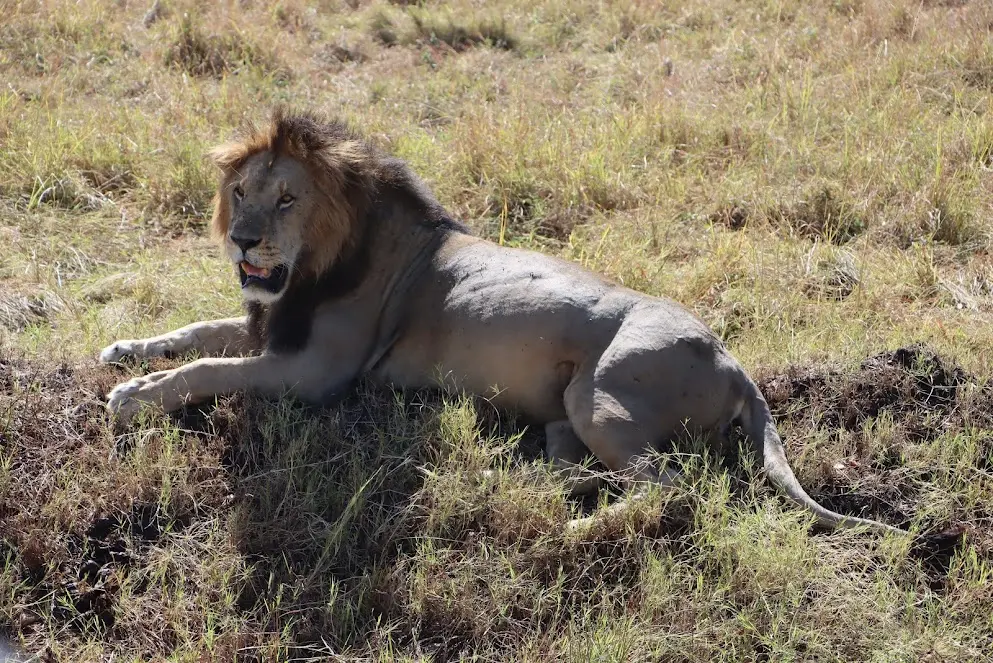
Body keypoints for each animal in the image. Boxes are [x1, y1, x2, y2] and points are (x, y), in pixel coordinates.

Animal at [102, 107, 908, 536]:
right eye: (241, 191)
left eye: (287, 199)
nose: (243, 240)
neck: (321, 263)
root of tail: (737, 365)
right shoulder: (277, 326)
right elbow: (199, 333)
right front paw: (125, 349)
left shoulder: (315, 371)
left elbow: (209, 367)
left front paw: (134, 396)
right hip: (569, 413)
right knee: (572, 462)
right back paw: (502, 476)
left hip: (600, 395)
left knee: (671, 484)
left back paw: (572, 524)